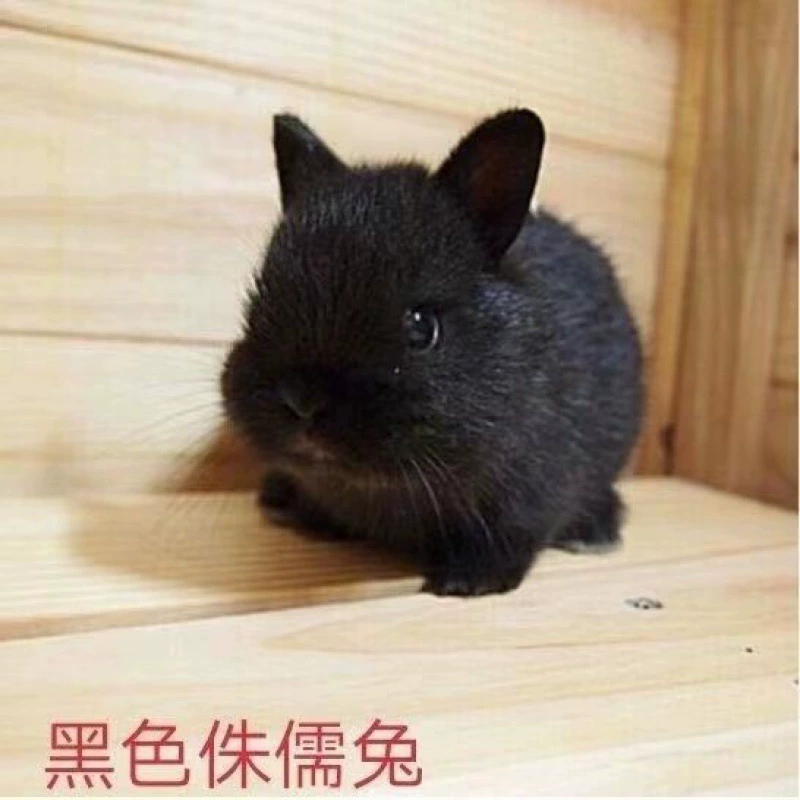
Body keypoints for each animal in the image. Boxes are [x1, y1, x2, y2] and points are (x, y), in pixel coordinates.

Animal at [221, 108, 643, 597]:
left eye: (422, 327)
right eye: (260, 302)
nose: (303, 401)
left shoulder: (534, 491)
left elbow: (508, 539)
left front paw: (466, 582)